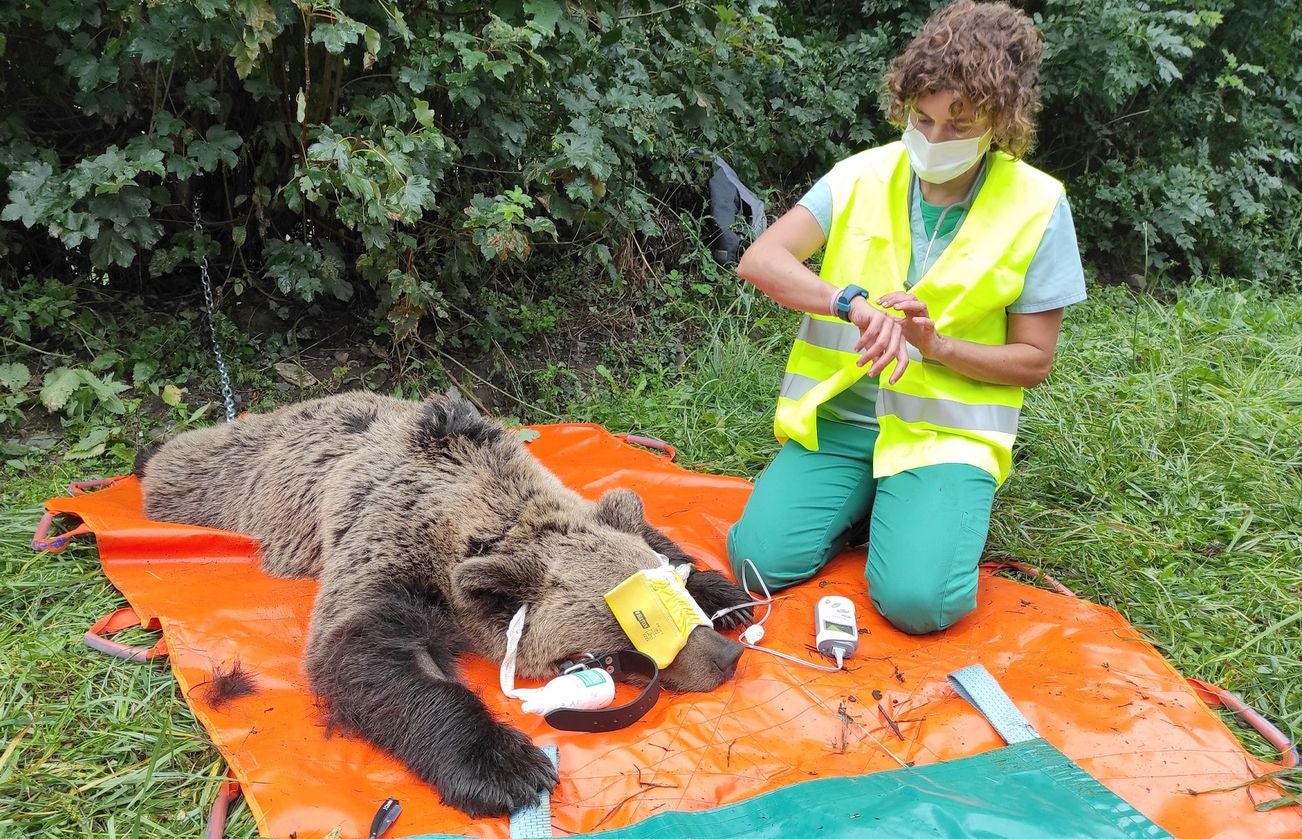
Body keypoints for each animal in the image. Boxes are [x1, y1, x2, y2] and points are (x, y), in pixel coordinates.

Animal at [137, 396, 755, 818]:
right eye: (634, 636)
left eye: (674, 601)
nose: (726, 660)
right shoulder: (388, 547)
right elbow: (367, 649)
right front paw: (505, 764)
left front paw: (728, 599)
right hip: (226, 484)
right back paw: (149, 453)